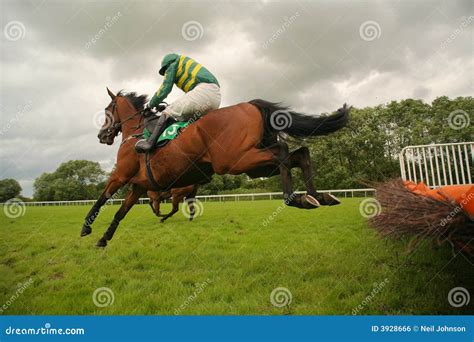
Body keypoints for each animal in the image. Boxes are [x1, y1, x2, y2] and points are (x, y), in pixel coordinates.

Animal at [80, 87, 348, 246]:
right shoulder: (139, 186)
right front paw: (104, 238)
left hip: (236, 160)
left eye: (107, 110)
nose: (101, 135)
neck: (135, 133)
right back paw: (315, 197)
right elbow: (120, 211)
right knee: (300, 154)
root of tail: (251, 104)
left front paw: (86, 227)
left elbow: (102, 198)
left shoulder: (121, 176)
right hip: (253, 166)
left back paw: (294, 198)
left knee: (284, 153)